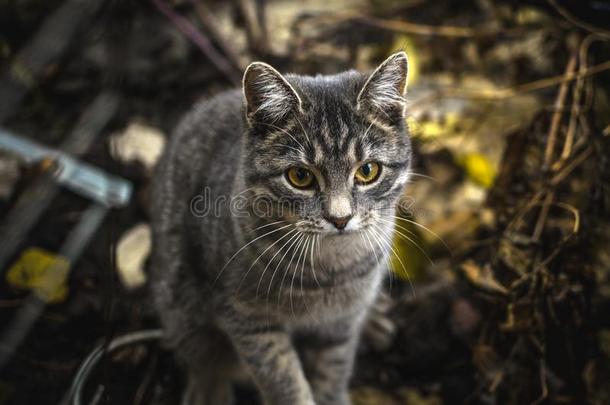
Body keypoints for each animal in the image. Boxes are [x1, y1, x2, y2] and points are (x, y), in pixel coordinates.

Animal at [150, 51, 410, 404]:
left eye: (368, 171)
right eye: (300, 176)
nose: (340, 218)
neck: (332, 268)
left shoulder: (340, 324)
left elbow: (334, 367)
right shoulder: (247, 318)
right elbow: (281, 378)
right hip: (179, 299)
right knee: (200, 352)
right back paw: (209, 387)